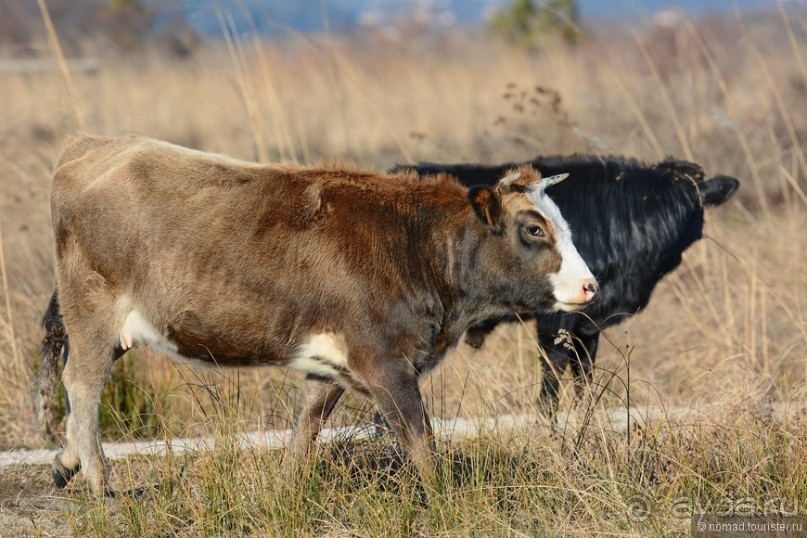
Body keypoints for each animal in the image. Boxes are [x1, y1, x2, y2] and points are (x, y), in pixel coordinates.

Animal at [41, 135, 596, 494]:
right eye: (533, 229)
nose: (590, 284)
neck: (416, 244)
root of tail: (92, 147)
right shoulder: (386, 363)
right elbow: (419, 439)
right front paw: (443, 499)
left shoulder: (330, 366)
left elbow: (306, 427)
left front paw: (286, 488)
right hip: (91, 310)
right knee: (83, 383)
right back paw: (99, 479)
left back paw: (67, 463)